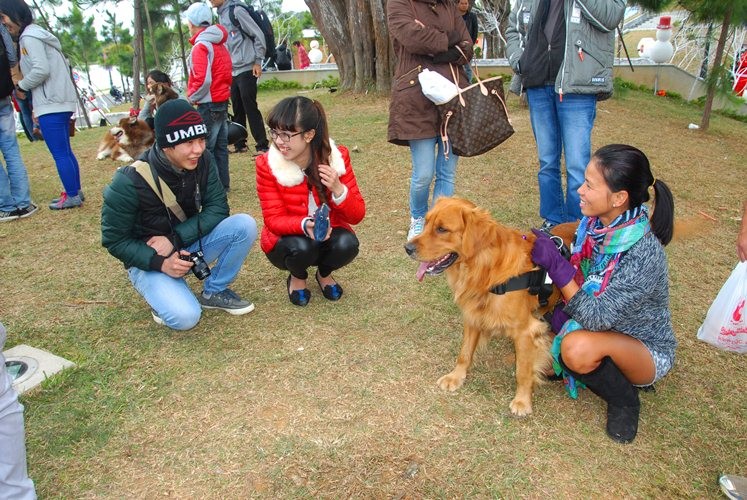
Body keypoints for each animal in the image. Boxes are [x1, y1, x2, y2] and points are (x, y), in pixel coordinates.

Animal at [406, 197, 576, 416]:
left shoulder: (525, 330)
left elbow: (523, 371)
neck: (486, 268)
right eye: (426, 223)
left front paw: (522, 401)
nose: (407, 248)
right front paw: (456, 376)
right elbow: (465, 353)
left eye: (442, 229)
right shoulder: (473, 315)